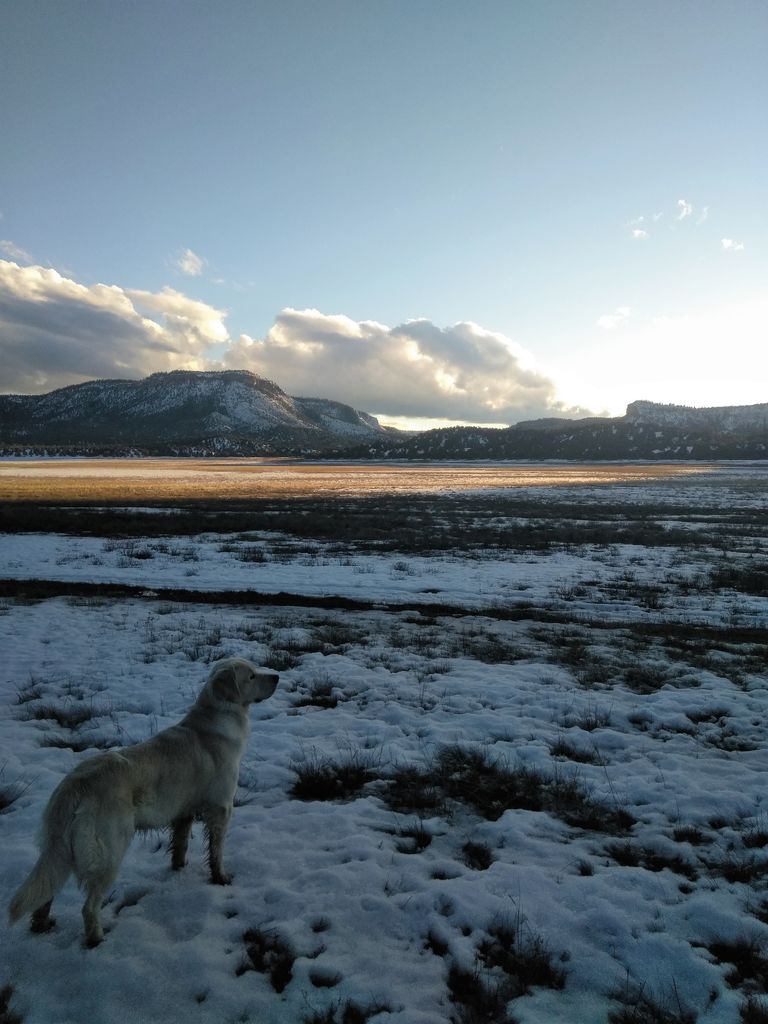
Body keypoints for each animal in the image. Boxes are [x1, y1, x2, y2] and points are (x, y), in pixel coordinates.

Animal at [9, 659, 280, 946]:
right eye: (252, 676)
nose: (277, 677)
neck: (215, 718)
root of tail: (74, 786)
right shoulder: (221, 807)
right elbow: (216, 852)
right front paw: (221, 878)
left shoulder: (183, 812)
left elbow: (180, 846)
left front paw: (178, 869)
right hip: (110, 851)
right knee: (88, 906)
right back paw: (96, 939)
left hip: (60, 849)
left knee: (46, 894)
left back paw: (42, 925)